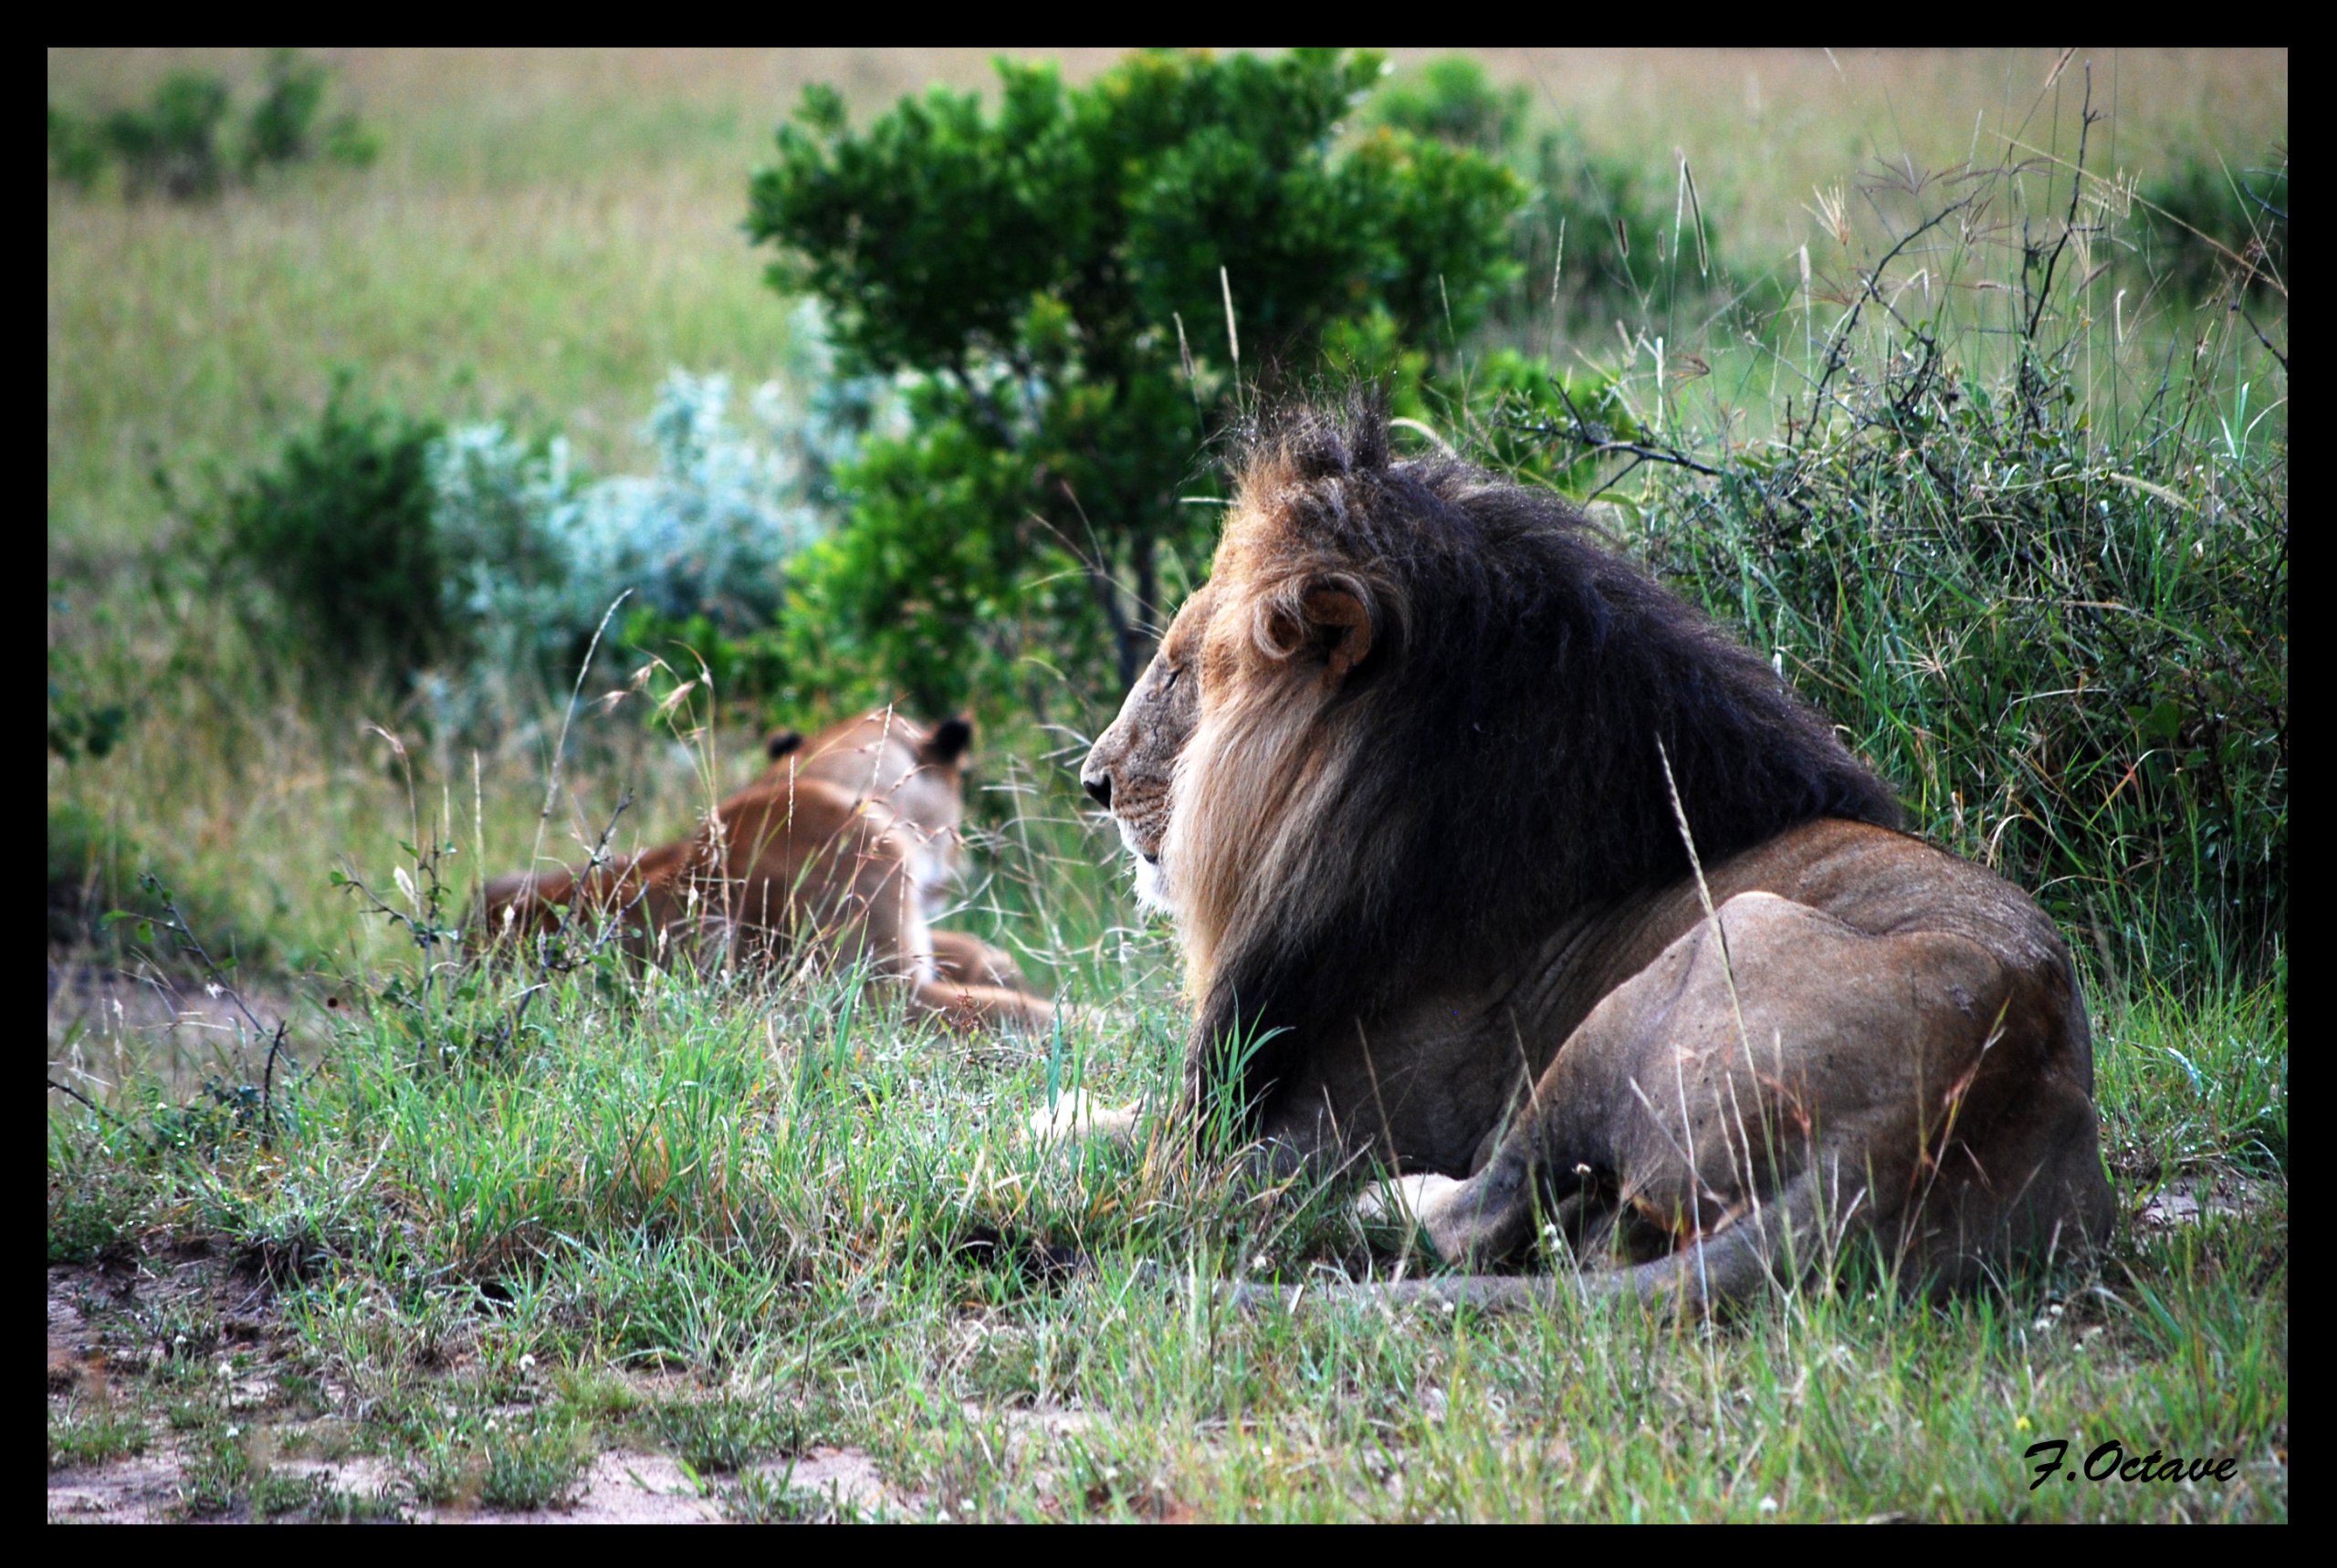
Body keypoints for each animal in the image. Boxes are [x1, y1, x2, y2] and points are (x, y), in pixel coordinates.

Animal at [1079, 403, 2122, 1308]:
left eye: (1175, 667)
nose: (1092, 780)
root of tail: (1900, 1138)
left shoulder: (1301, 1117)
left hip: (1684, 966)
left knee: (1474, 1213)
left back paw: (1393, 1196)